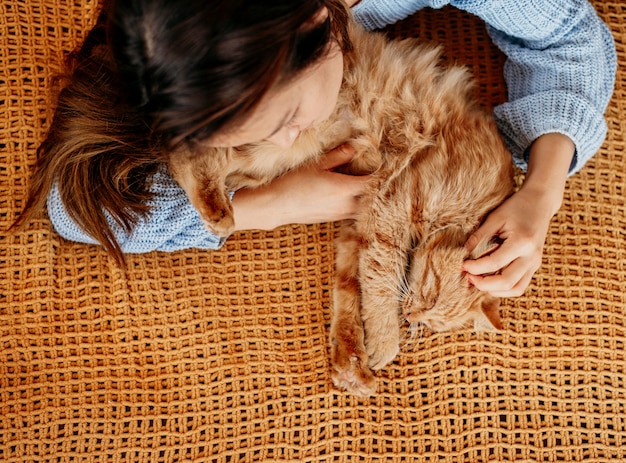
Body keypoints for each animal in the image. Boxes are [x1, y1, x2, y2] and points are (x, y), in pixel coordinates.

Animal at [167, 23, 512, 396]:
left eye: (434, 321)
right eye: (430, 292)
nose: (412, 317)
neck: (467, 204)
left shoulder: (357, 229)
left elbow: (349, 291)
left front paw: (351, 362)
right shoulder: (390, 209)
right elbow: (382, 284)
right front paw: (384, 342)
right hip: (289, 141)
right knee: (186, 152)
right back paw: (218, 211)